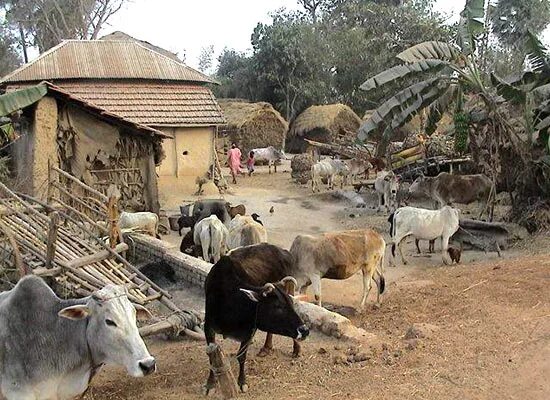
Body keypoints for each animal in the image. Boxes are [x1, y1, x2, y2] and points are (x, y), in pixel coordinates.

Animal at [204, 253, 308, 394]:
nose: (305, 330)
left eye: (291, 304)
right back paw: (266, 348)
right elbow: (211, 359)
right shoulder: (208, 327)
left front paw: (242, 382)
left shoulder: (249, 332)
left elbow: (241, 357)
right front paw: (210, 384)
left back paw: (295, 349)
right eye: (277, 306)